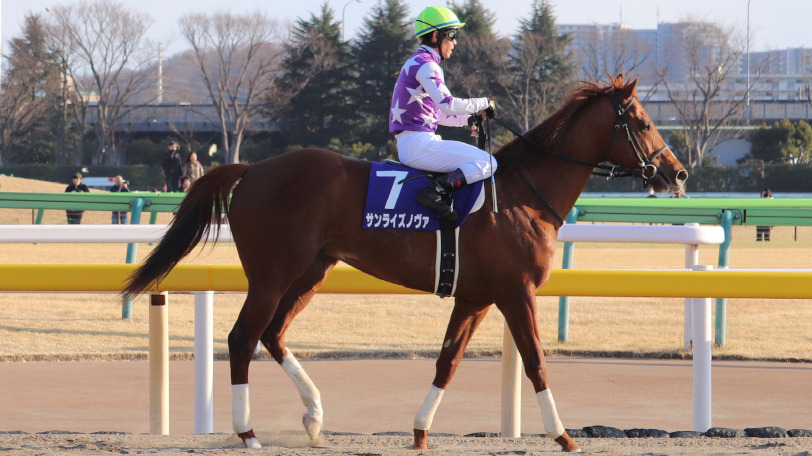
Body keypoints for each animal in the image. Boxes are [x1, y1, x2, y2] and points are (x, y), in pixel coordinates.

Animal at [122, 74, 687, 452]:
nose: (678, 173)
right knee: (243, 337)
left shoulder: (475, 296)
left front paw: (419, 432)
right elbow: (536, 361)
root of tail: (254, 167)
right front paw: (564, 434)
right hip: (272, 274)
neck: (523, 195)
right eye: (642, 121)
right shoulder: (516, 291)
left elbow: (448, 361)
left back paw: (314, 417)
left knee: (273, 334)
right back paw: (248, 433)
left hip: (312, 271)